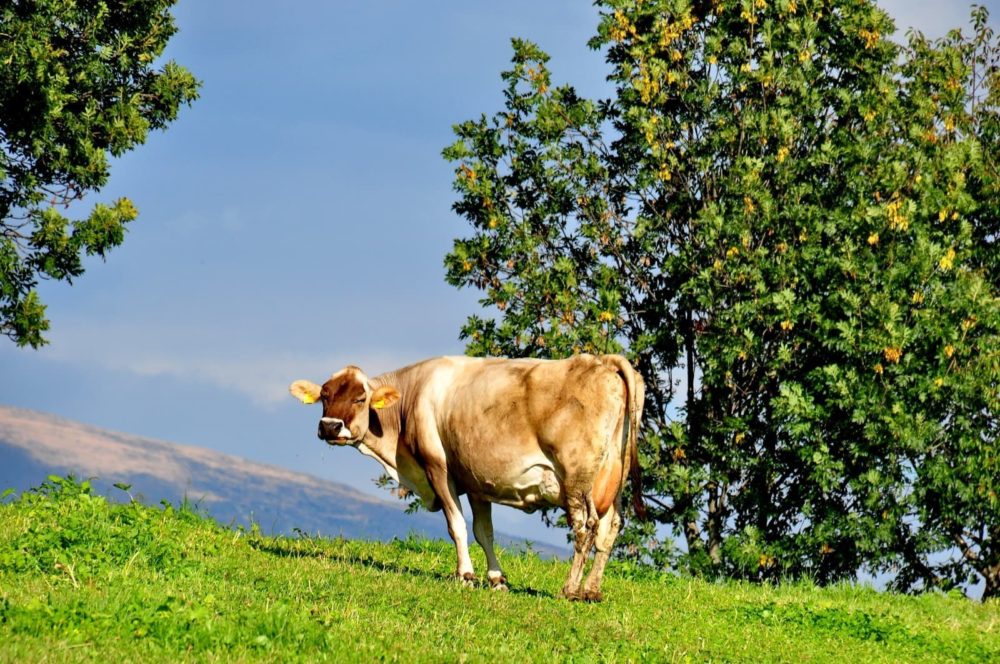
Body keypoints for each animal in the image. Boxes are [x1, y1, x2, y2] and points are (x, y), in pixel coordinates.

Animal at [290, 356, 648, 600]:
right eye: (324, 395)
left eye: (360, 397)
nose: (330, 426)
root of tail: (602, 360)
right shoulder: (477, 480)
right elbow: (483, 532)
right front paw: (497, 579)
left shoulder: (438, 468)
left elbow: (457, 526)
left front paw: (465, 575)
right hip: (612, 480)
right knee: (610, 528)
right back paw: (592, 590)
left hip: (576, 478)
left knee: (585, 527)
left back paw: (570, 588)